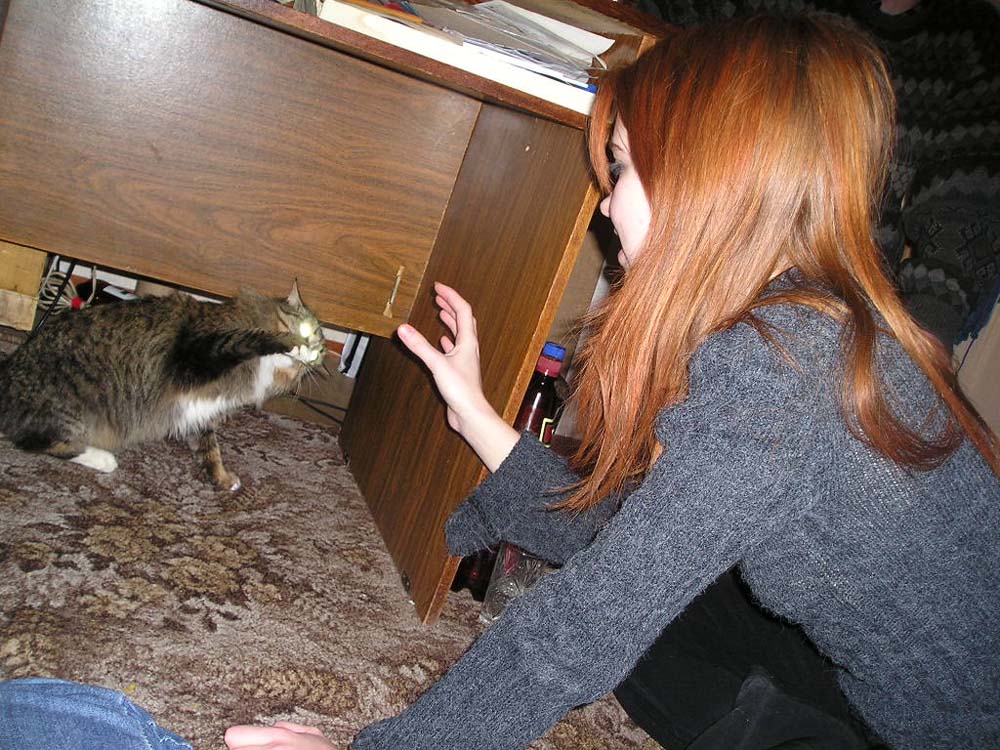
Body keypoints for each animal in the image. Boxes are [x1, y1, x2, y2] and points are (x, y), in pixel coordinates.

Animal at [0, 282, 326, 491]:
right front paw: (288, 342)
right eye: (306, 330)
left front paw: (221, 478)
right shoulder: (199, 352)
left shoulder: (200, 409)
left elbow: (210, 448)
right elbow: (253, 338)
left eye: (319, 355)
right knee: (37, 442)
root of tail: (8, 371)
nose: (312, 352)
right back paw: (103, 459)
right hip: (71, 405)